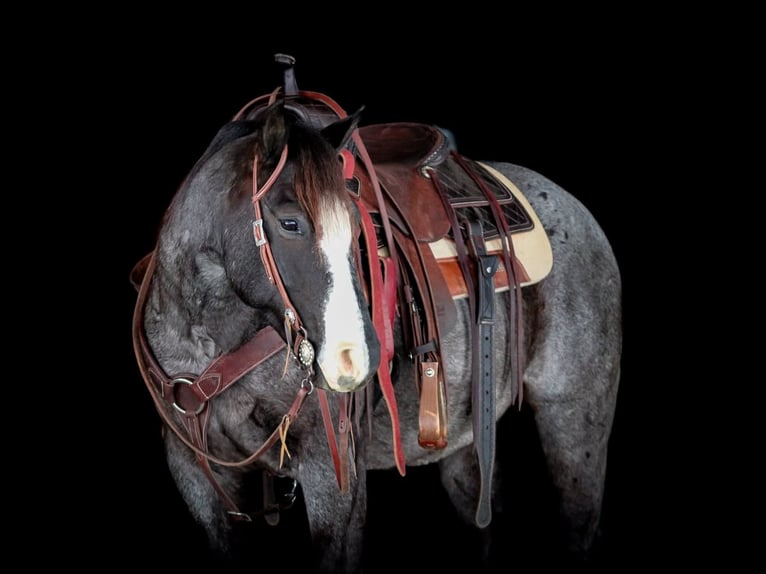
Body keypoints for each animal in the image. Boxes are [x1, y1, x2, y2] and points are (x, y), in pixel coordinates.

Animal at [131, 56, 622, 572]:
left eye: (355, 225)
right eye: (290, 223)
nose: (356, 359)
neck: (209, 343)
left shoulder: (333, 474)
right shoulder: (197, 479)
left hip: (574, 423)